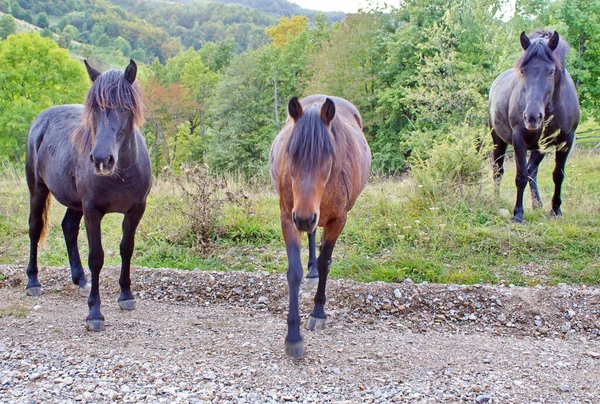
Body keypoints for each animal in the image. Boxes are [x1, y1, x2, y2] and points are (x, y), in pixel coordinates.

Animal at [25, 60, 152, 332]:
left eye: (125, 107)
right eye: (94, 107)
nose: (102, 159)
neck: (121, 174)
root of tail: (41, 119)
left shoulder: (135, 210)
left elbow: (127, 249)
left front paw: (126, 295)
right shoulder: (93, 210)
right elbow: (96, 257)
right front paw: (95, 313)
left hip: (75, 203)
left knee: (68, 227)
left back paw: (80, 280)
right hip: (37, 189)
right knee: (34, 228)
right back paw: (33, 282)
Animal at [270, 95, 370, 360]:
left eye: (328, 157)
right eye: (290, 153)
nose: (304, 218)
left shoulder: (338, 220)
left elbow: (326, 263)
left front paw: (317, 312)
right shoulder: (289, 217)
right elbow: (294, 272)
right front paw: (293, 336)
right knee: (312, 233)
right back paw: (311, 270)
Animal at [488, 30, 580, 223]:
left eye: (551, 71)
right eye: (523, 71)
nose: (532, 117)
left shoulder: (566, 141)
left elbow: (558, 175)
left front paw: (556, 209)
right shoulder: (519, 139)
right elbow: (520, 176)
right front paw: (518, 214)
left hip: (540, 147)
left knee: (532, 170)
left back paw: (537, 203)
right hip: (498, 140)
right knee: (498, 170)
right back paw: (496, 199)